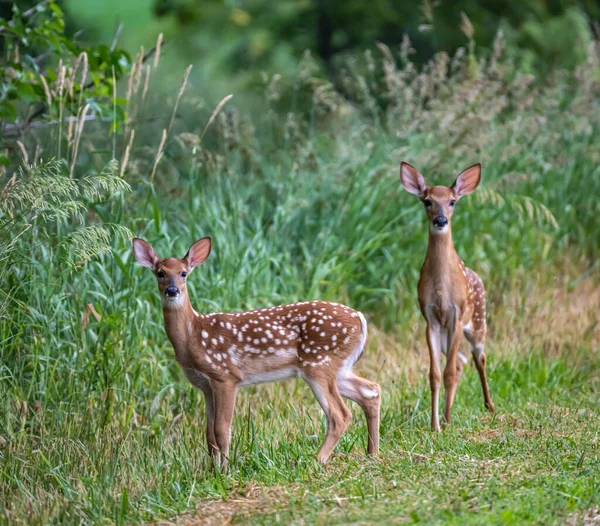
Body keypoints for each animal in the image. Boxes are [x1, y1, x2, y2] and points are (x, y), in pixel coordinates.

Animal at [134, 237, 382, 468]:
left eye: (183, 273)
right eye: (160, 273)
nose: (172, 290)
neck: (192, 335)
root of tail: (360, 318)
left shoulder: (225, 376)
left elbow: (222, 430)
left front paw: (224, 471)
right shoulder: (205, 386)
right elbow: (209, 434)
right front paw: (212, 470)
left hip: (319, 364)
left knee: (340, 415)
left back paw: (316, 460)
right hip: (337, 368)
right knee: (371, 391)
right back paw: (372, 454)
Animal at [400, 162, 494, 434]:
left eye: (452, 201)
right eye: (427, 201)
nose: (440, 220)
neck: (442, 288)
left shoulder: (456, 315)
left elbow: (449, 372)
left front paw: (448, 423)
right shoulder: (430, 319)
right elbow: (435, 374)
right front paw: (435, 425)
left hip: (478, 322)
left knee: (479, 357)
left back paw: (489, 406)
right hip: (445, 335)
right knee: (463, 361)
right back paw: (444, 416)